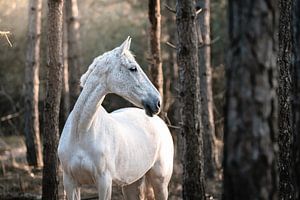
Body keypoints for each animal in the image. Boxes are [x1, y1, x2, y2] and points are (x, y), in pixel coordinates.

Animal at [57, 36, 173, 199]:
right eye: (133, 68)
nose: (157, 102)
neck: (81, 132)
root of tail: (160, 122)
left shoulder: (104, 182)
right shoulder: (70, 182)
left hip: (160, 182)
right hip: (131, 184)